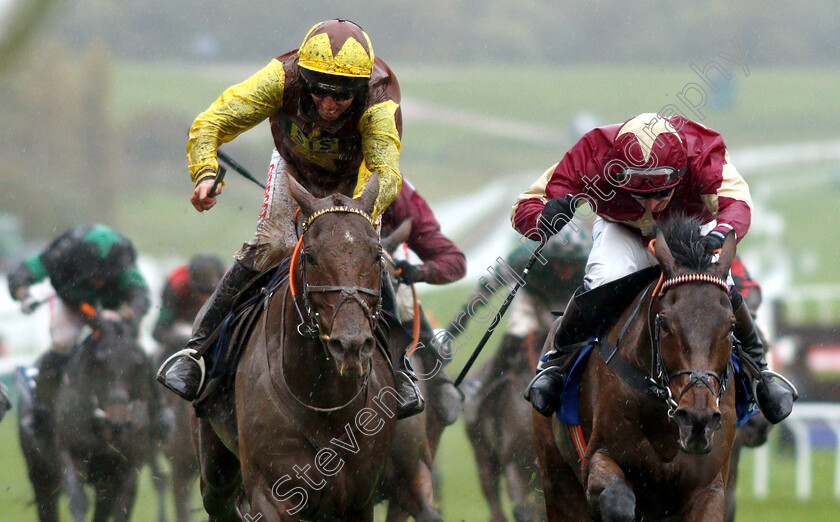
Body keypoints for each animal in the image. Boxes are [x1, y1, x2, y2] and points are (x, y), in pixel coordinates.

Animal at [199, 174, 406, 520]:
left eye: (377, 255)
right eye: (310, 255)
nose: (350, 345)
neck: (327, 400)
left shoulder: (358, 500)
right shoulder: (272, 494)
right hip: (215, 468)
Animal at [536, 215, 740, 520]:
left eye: (730, 325)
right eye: (665, 323)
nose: (697, 419)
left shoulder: (707, 486)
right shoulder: (598, 459)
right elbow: (617, 500)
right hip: (558, 480)